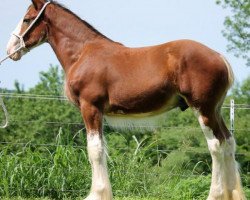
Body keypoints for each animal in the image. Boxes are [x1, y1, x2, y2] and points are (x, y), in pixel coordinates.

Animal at [4, 0, 246, 199]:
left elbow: (95, 150)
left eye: (27, 19)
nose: (10, 50)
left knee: (215, 145)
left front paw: (97, 194)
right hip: (215, 110)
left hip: (202, 109)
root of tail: (219, 57)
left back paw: (215, 194)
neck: (83, 53)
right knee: (228, 142)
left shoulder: (90, 107)